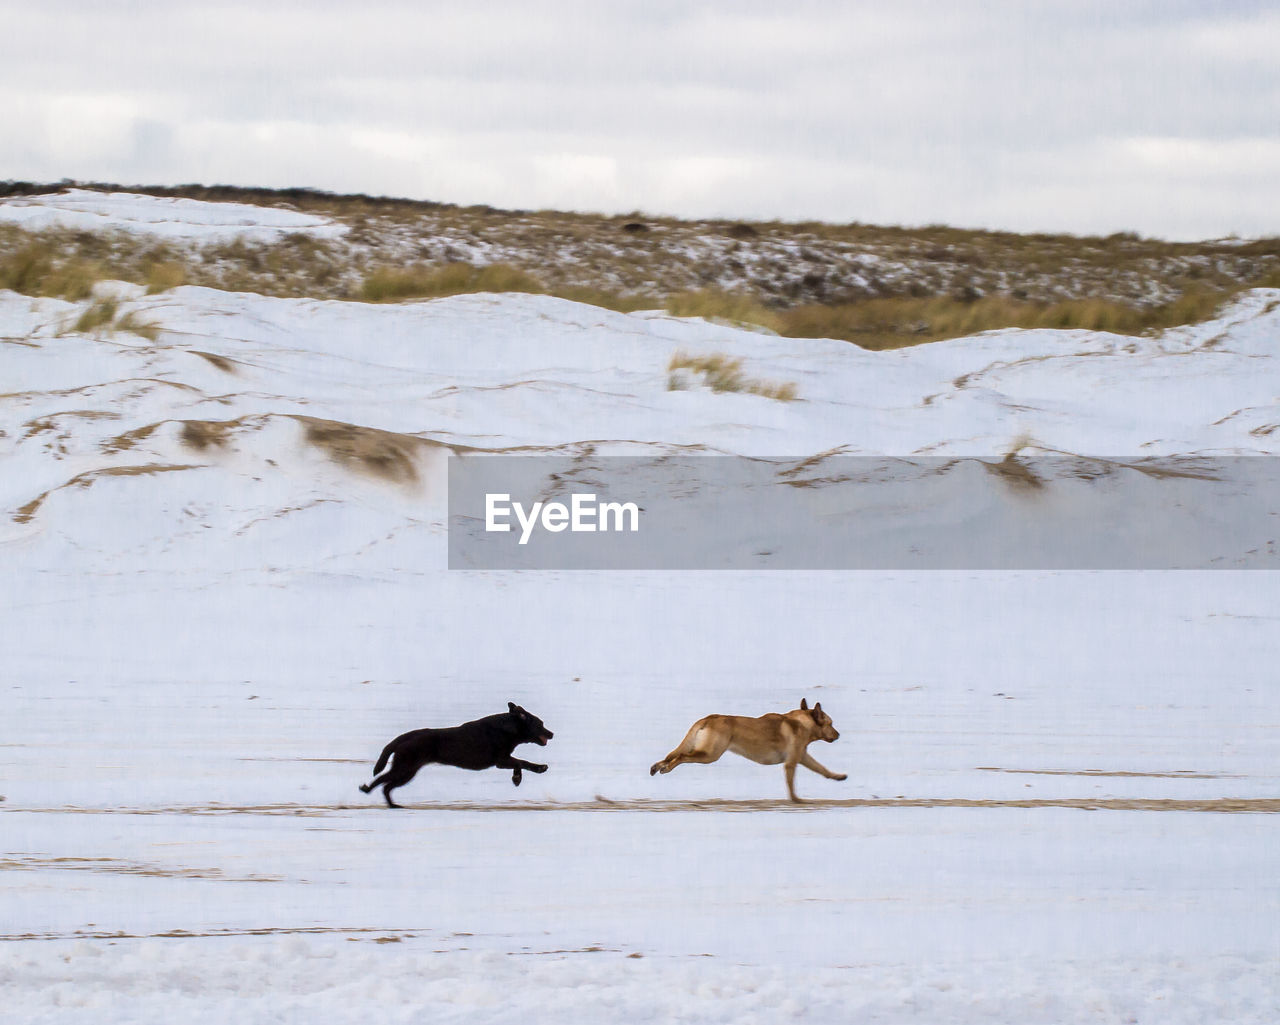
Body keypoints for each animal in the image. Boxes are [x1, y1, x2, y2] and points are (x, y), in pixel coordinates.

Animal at [358, 706, 552, 808]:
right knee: (381, 781)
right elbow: (521, 762)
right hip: (404, 767)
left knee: (387, 786)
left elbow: (521, 763)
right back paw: (367, 790)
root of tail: (407, 736)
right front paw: (524, 775)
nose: (552, 733)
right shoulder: (500, 759)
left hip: (408, 771)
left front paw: (528, 773)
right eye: (540, 724)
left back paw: (393, 805)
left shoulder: (503, 760)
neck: (507, 728)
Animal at [650, 701, 849, 803]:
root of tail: (708, 718)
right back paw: (666, 768)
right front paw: (795, 799)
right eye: (831, 723)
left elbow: (822, 769)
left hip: (701, 749)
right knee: (681, 757)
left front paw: (838, 777)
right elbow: (791, 784)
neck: (803, 723)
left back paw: (657, 766)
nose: (839, 734)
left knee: (671, 755)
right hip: (710, 754)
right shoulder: (792, 762)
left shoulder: (802, 756)